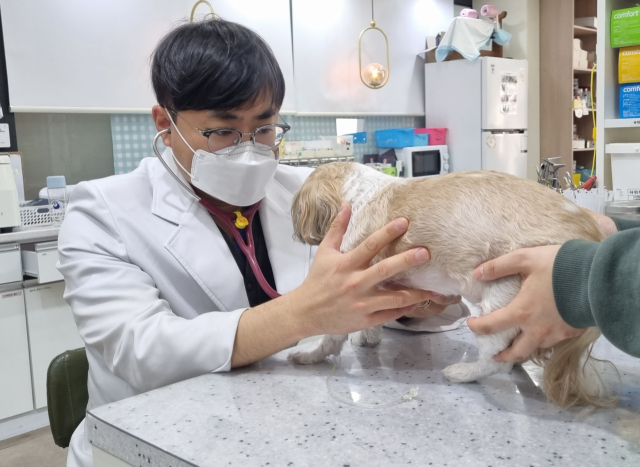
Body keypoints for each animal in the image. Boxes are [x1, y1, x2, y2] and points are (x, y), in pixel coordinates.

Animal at [288, 163, 612, 408]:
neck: (362, 193)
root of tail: (591, 236)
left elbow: (331, 336)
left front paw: (311, 354)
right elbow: (372, 319)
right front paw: (367, 336)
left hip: (501, 299)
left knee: (497, 361)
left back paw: (464, 372)